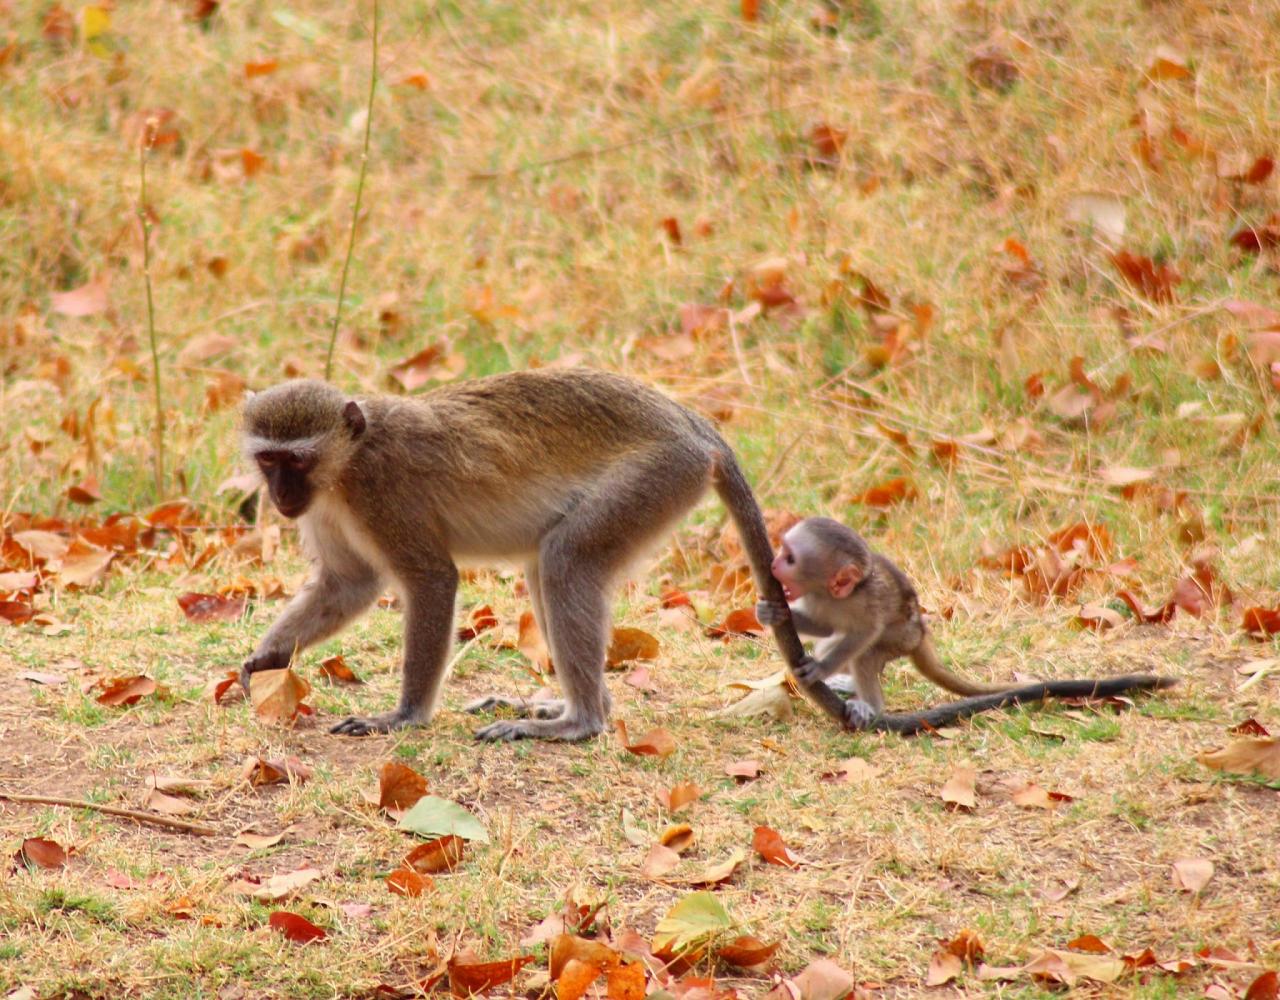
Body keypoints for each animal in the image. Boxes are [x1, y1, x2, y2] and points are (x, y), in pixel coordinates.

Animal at [238, 371, 849, 737]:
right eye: (269, 461)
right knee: (545, 565)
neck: (344, 467)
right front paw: (267, 658)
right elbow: (348, 583)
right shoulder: (328, 511)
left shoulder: (382, 493)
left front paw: (403, 717)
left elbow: (432, 579)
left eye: (296, 461)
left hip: (658, 477)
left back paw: (579, 722)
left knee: (564, 560)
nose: (282, 497)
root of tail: (692, 424)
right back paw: (562, 707)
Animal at [757, 519, 1177, 727]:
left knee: (868, 653)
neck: (831, 592)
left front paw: (820, 668)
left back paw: (870, 706)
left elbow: (862, 633)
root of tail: (921, 631)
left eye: (790, 557)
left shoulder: (862, 601)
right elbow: (828, 630)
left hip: (901, 637)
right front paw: (773, 613)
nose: (774, 565)